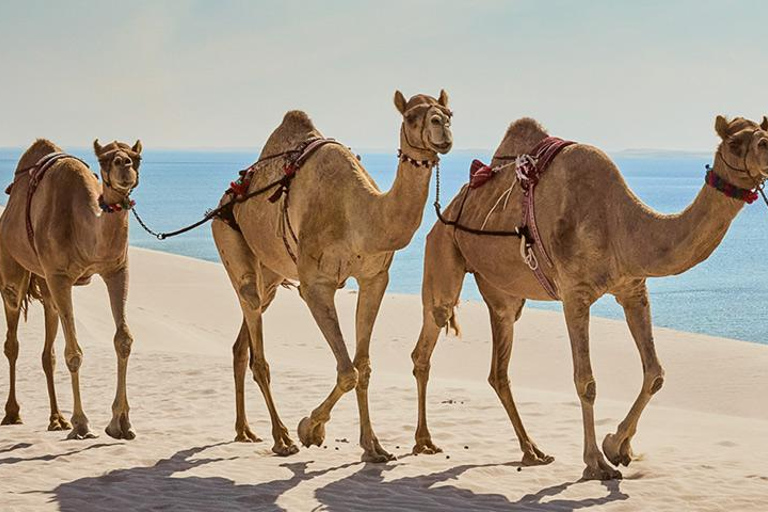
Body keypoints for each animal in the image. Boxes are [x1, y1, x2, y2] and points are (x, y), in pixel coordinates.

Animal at [1, 139, 144, 440]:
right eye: (105, 159)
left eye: (137, 157)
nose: (124, 165)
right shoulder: (59, 277)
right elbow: (74, 352)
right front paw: (82, 423)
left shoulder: (116, 270)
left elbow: (123, 340)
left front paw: (121, 422)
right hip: (13, 270)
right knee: (12, 339)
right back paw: (13, 413)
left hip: (44, 283)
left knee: (48, 350)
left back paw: (57, 419)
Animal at [213, 90, 452, 462]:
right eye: (412, 116)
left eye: (449, 113)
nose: (442, 128)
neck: (361, 215)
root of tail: (225, 199)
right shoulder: (315, 285)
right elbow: (347, 371)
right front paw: (310, 429)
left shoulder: (375, 278)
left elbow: (362, 367)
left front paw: (373, 446)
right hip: (228, 236)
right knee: (254, 331)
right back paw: (282, 437)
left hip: (271, 273)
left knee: (244, 341)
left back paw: (245, 430)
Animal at [412, 114, 768, 478]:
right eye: (736, 142)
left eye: (763, 133)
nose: (766, 152)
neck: (621, 224)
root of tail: (449, 207)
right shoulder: (575, 295)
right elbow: (586, 382)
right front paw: (596, 462)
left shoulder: (633, 289)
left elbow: (655, 373)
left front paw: (618, 446)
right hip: (442, 248)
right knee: (427, 340)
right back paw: (423, 442)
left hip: (503, 294)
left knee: (499, 368)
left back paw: (532, 450)